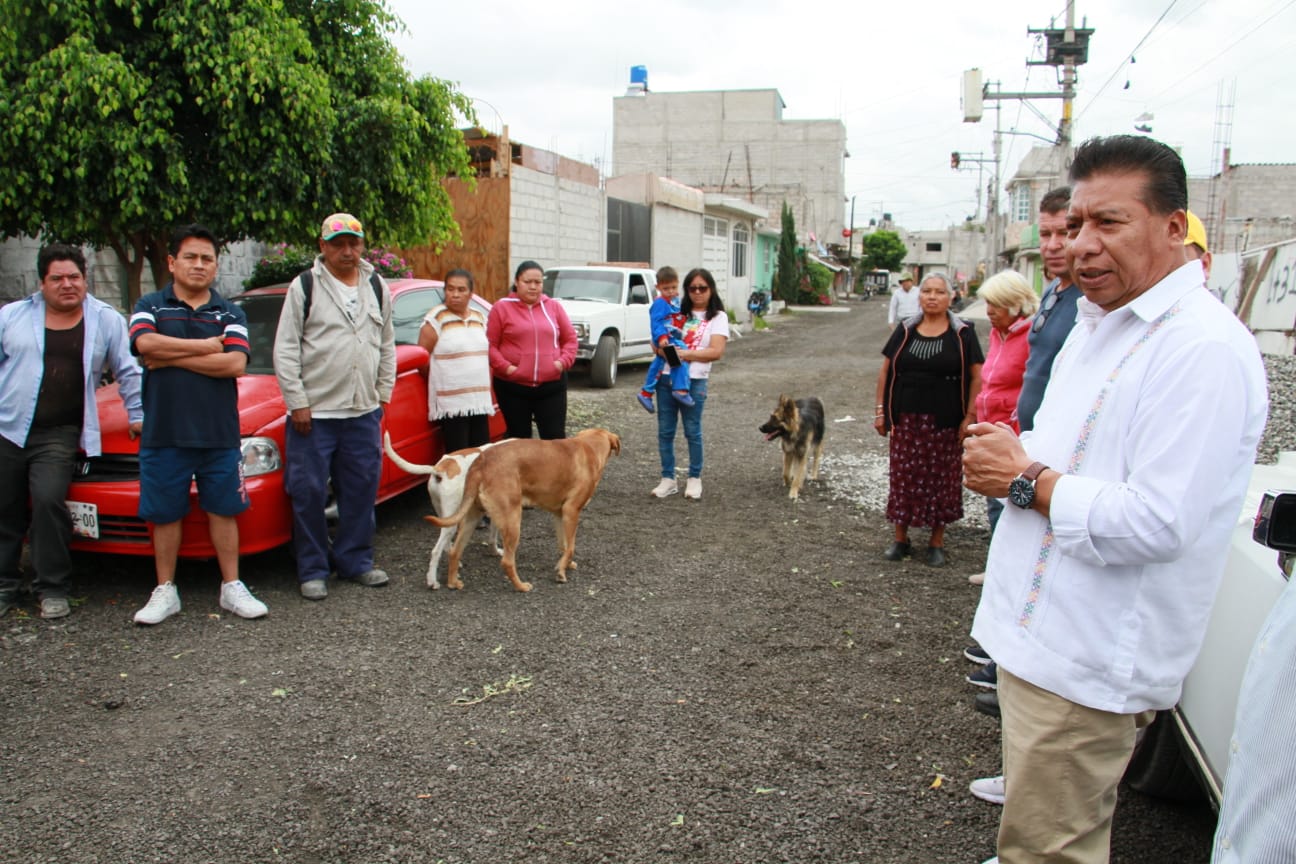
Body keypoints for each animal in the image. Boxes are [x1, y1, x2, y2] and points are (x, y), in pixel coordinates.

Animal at [381, 430, 508, 588]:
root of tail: (440, 469)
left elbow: (492, 536)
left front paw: (495, 551)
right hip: (454, 517)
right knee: (436, 551)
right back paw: (432, 581)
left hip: (446, 516)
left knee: (447, 545)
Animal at [425, 427, 622, 590]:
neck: (589, 447)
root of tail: (481, 463)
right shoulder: (571, 511)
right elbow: (571, 547)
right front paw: (561, 573)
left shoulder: (559, 514)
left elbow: (563, 545)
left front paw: (565, 564)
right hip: (512, 520)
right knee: (506, 561)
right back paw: (521, 586)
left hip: (471, 518)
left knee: (454, 552)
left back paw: (453, 583)